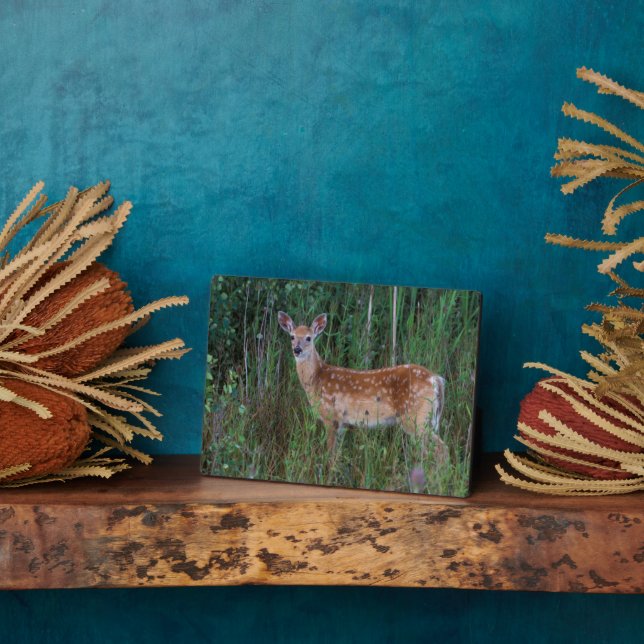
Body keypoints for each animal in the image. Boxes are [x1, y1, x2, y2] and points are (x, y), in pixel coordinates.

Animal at [278, 311, 446, 459]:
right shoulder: (342, 423)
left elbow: (330, 455)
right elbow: (337, 455)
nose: (297, 350)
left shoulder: (331, 417)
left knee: (441, 448)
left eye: (309, 338)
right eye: (292, 336)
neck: (316, 379)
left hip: (415, 417)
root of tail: (435, 379)